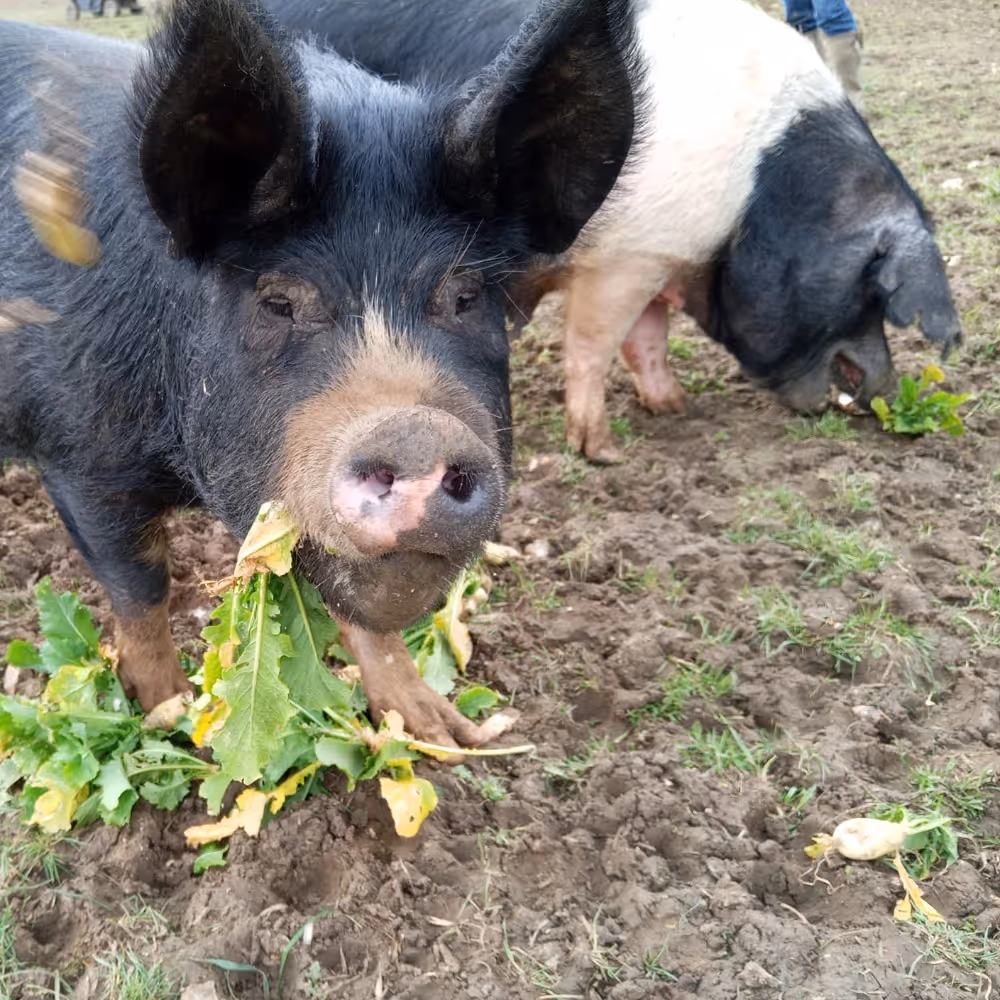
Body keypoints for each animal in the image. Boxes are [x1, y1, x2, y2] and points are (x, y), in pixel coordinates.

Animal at [0, 0, 640, 746]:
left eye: (464, 297)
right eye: (278, 302)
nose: (417, 433)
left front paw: (443, 734)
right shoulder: (79, 456)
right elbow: (142, 588)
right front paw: (172, 717)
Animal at [271, 0, 962, 463]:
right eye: (872, 289)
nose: (886, 388)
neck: (754, 198)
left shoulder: (657, 250)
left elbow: (648, 338)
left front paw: (674, 407)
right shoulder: (625, 255)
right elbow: (594, 346)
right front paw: (602, 451)